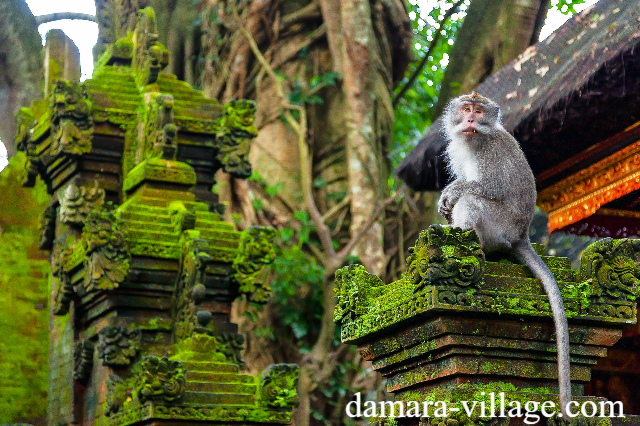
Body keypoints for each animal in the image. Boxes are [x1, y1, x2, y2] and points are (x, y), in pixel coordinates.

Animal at [438, 91, 572, 417]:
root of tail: (521, 235)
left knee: (473, 200)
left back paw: (465, 239)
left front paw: (450, 192)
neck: (475, 140)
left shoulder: (490, 152)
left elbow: (489, 186)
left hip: (500, 227)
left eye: (478, 111)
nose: (470, 119)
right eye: (466, 108)